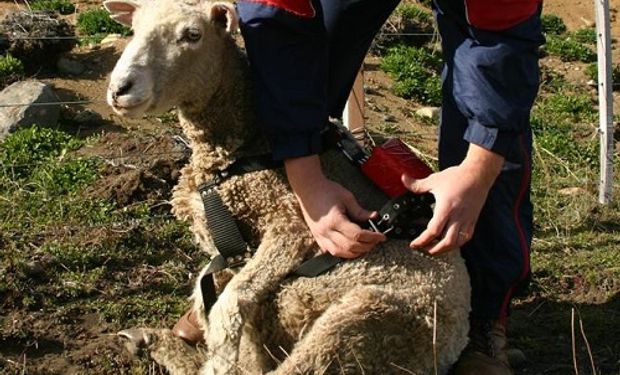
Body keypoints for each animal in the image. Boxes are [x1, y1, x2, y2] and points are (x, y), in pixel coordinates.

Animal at [105, 0, 470, 374]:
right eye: (134, 27)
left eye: (192, 35)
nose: (120, 89)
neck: (245, 145)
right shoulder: (231, 253)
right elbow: (213, 299)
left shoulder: (293, 224)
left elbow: (228, 308)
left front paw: (217, 359)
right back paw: (150, 340)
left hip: (359, 323)